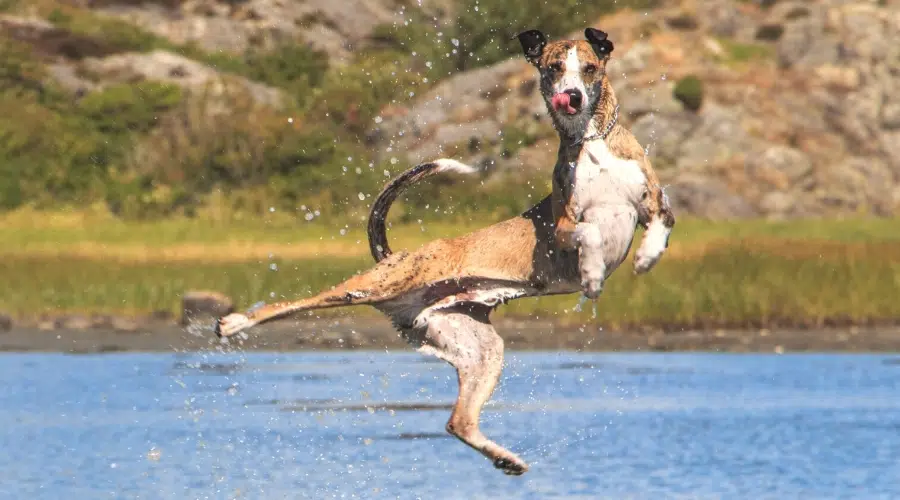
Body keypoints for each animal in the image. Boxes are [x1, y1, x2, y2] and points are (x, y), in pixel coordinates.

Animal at [213, 28, 676, 476]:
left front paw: (646, 256)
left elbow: (659, 224)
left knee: (457, 422)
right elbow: (590, 232)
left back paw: (506, 460)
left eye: (590, 68)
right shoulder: (563, 225)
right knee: (291, 303)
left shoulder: (654, 203)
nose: (573, 96)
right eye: (553, 69)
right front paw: (593, 273)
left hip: (479, 350)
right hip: (371, 287)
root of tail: (391, 258)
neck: (591, 141)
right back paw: (234, 323)